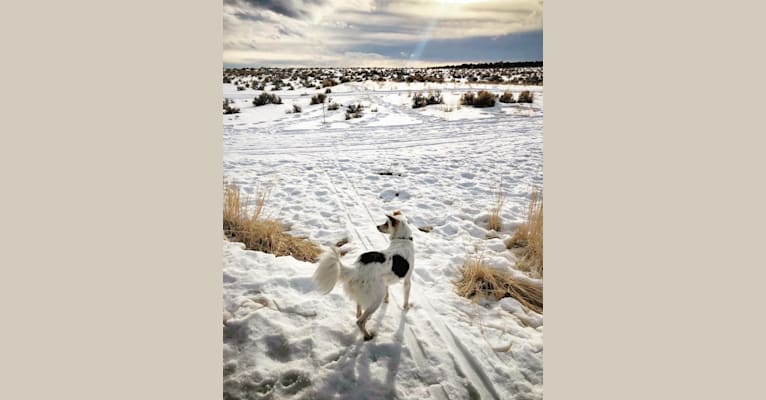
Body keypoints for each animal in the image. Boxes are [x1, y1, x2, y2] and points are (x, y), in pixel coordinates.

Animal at [316, 211, 416, 340]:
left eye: (386, 224)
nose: (377, 226)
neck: (402, 239)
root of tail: (356, 268)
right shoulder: (407, 280)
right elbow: (406, 298)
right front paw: (406, 308)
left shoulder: (385, 280)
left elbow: (387, 291)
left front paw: (387, 300)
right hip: (376, 298)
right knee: (360, 321)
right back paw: (368, 336)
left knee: (359, 312)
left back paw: (365, 319)